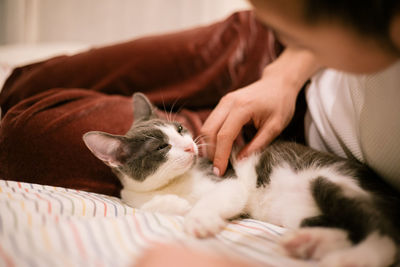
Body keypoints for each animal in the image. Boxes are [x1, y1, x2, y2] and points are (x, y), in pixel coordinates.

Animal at [83, 93, 398, 266]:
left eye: (181, 129)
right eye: (162, 147)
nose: (190, 147)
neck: (175, 182)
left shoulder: (227, 180)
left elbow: (219, 196)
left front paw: (199, 218)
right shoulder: (132, 195)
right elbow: (143, 203)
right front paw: (176, 205)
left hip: (328, 180)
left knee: (384, 232)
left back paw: (356, 256)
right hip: (301, 212)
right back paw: (308, 243)